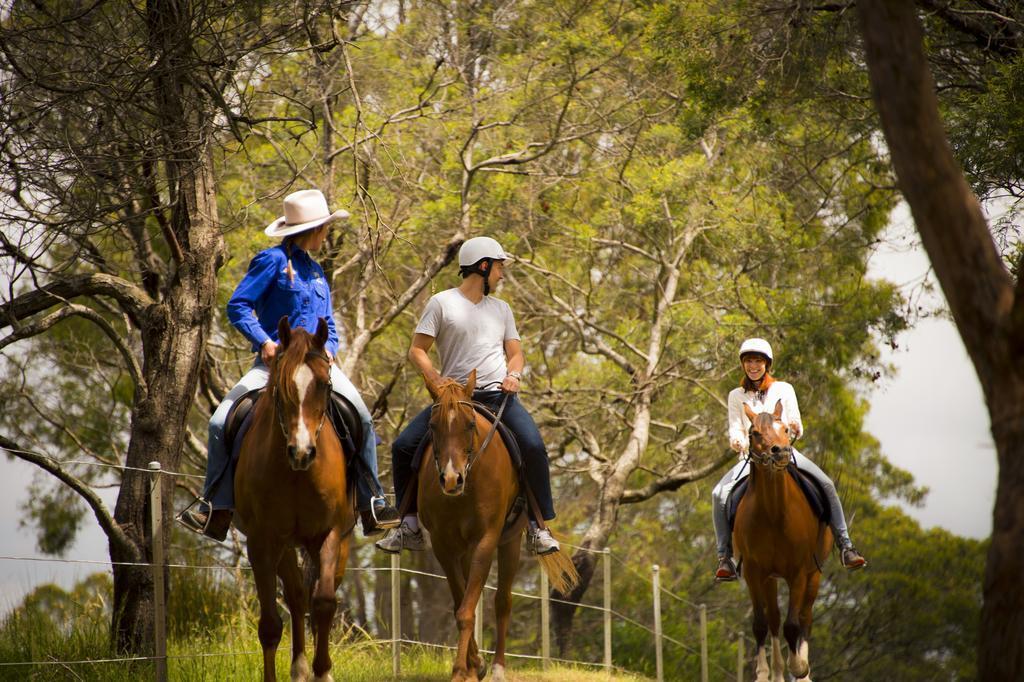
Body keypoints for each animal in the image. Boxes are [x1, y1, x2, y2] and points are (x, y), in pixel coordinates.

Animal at [235, 319, 356, 679]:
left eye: (325, 385)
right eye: (282, 387)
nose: (302, 452)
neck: (297, 475)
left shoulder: (329, 534)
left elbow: (325, 603)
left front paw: (324, 671)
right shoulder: (262, 541)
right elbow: (270, 625)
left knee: (313, 598)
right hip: (285, 545)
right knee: (296, 596)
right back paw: (300, 668)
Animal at [415, 372, 577, 679]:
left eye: (469, 423)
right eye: (431, 425)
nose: (451, 479)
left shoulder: (486, 540)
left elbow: (468, 610)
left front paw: (461, 671)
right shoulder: (443, 545)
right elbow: (461, 604)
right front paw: (471, 666)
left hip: (509, 542)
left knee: (503, 601)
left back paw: (499, 667)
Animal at [729, 399, 831, 679]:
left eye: (786, 429)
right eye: (754, 433)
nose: (781, 452)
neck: (774, 514)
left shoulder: (798, 573)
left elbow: (793, 625)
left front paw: (799, 667)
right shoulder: (754, 572)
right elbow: (761, 623)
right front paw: (764, 674)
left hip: (814, 574)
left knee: (805, 618)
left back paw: (803, 672)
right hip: (770, 578)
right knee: (774, 619)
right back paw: (776, 672)